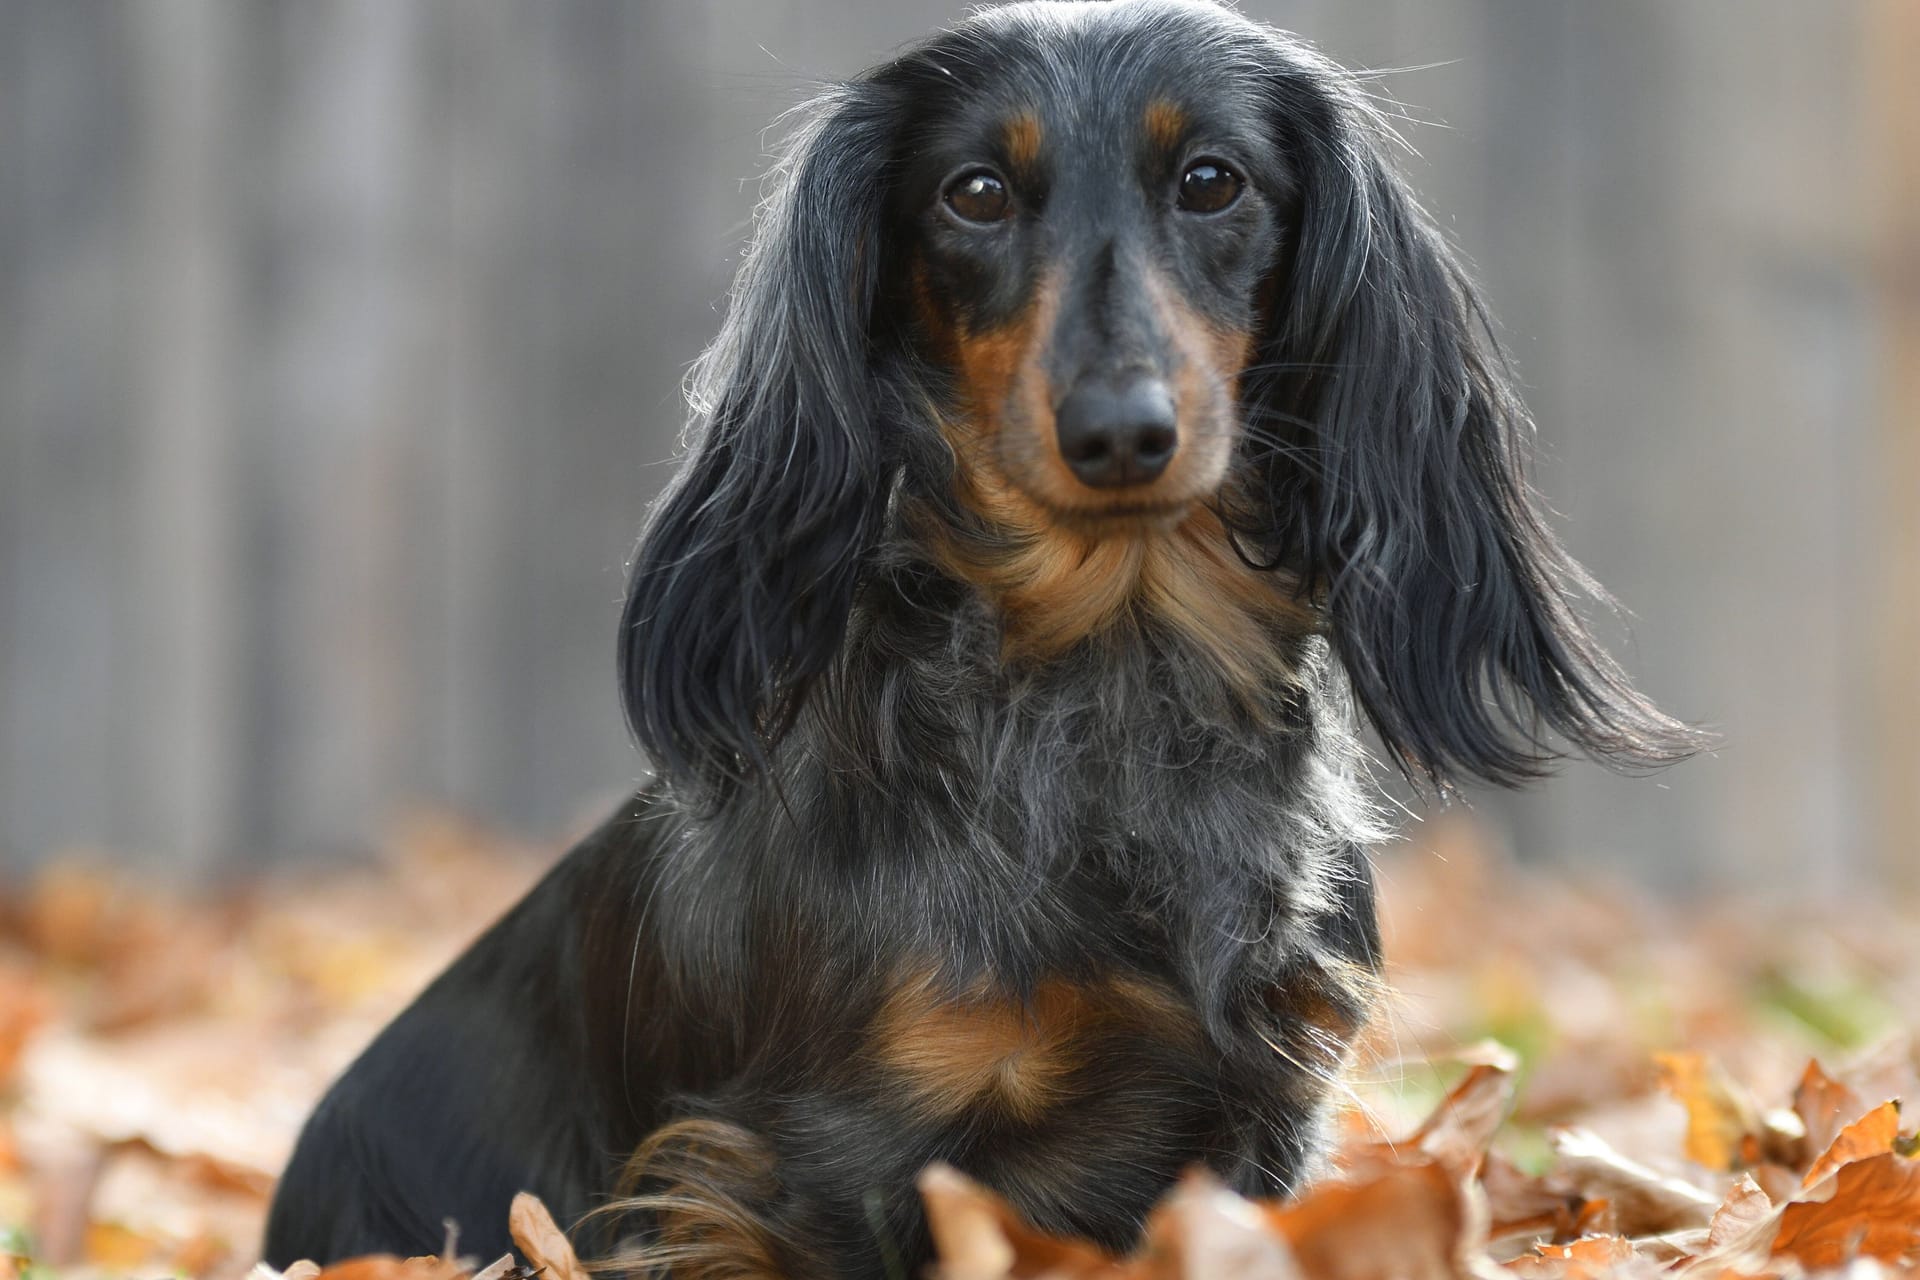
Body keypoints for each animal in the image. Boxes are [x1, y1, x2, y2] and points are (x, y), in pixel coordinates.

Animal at [263, 5, 1704, 1274]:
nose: (1120, 432)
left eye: (1213, 180)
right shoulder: (831, 1157)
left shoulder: (1265, 1106)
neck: (1110, 690)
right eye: (973, 194)